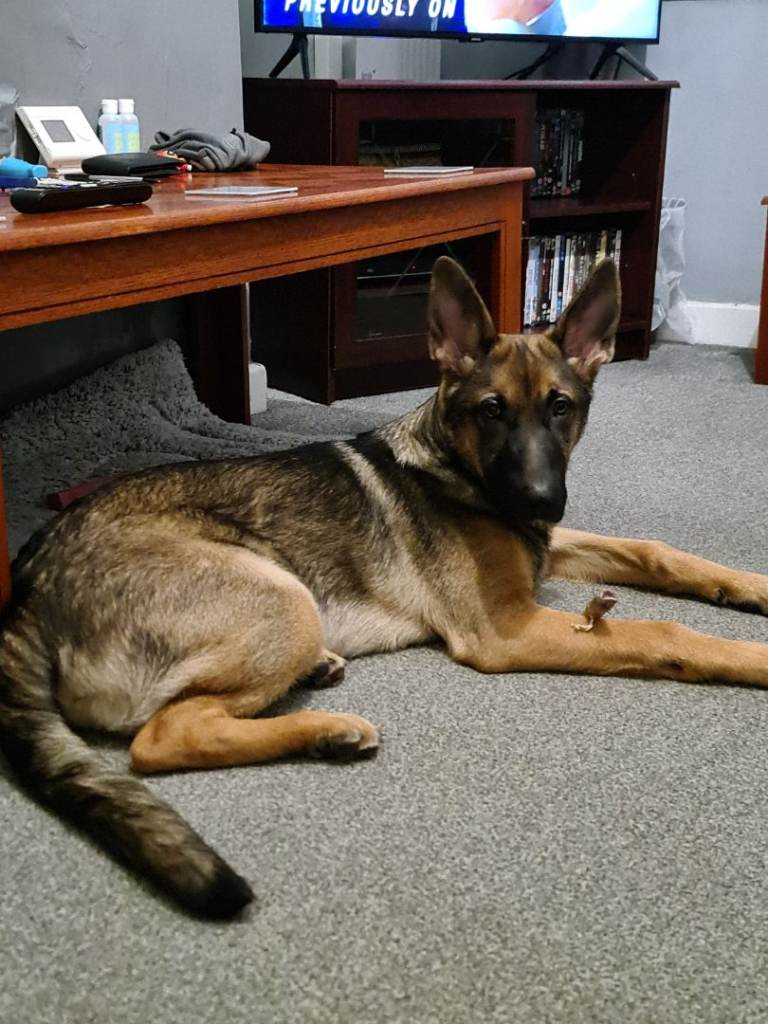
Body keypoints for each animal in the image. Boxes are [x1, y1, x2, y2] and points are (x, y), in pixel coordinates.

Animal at [1, 256, 767, 920]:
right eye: (491, 411)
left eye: (560, 408)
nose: (542, 501)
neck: (453, 464)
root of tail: (29, 582)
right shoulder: (506, 627)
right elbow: (659, 632)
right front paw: (750, 655)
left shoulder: (550, 556)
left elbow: (655, 550)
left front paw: (749, 586)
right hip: (283, 596)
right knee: (164, 737)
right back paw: (324, 730)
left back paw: (319, 680)